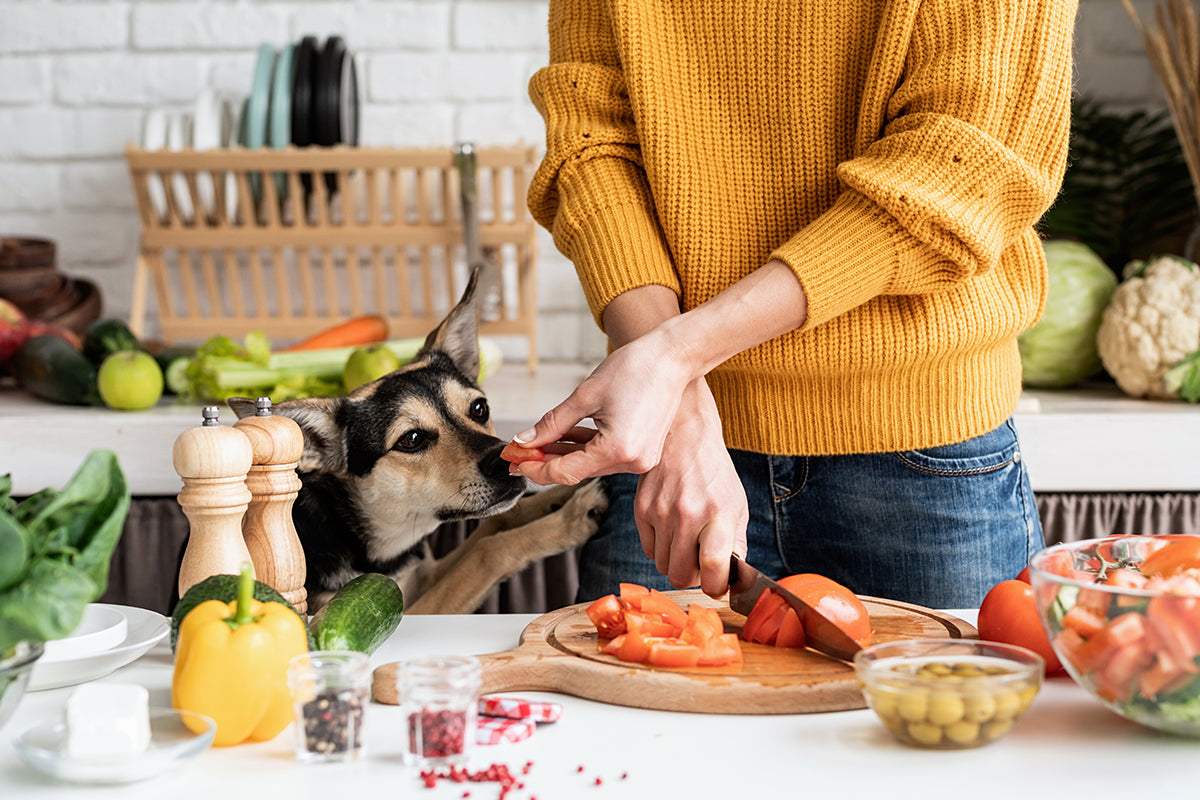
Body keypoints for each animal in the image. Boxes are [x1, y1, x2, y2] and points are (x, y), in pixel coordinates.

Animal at [224, 272, 604, 618]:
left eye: (479, 408)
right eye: (412, 439)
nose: (504, 461)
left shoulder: (422, 576)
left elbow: (495, 524)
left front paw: (561, 494)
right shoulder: (407, 608)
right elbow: (487, 552)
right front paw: (569, 519)